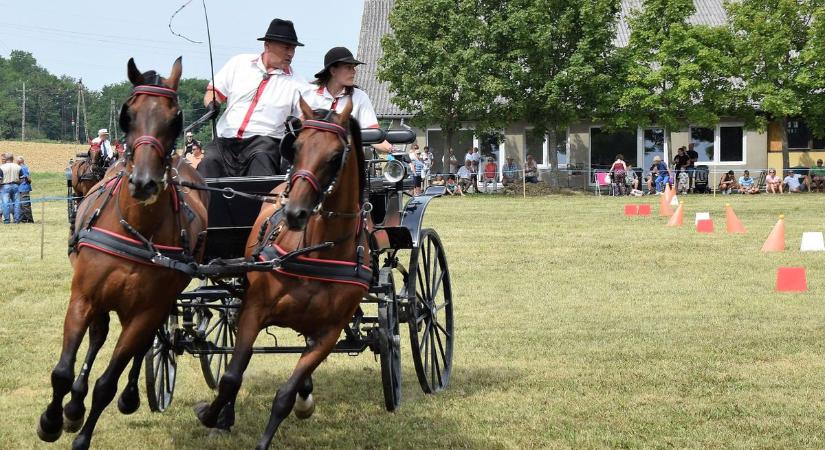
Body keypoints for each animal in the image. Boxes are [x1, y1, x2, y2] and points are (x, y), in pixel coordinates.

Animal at [37, 58, 209, 450]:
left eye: (175, 119)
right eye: (127, 115)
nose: (144, 181)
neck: (136, 228)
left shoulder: (145, 311)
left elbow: (107, 383)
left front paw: (82, 432)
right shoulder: (83, 296)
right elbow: (62, 371)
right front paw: (52, 420)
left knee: (147, 344)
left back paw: (126, 396)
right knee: (98, 335)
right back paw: (73, 405)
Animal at [195, 99, 368, 450]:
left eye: (335, 156)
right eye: (297, 147)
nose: (295, 213)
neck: (317, 252)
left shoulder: (329, 333)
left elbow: (286, 394)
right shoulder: (254, 309)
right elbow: (232, 376)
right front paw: (210, 415)